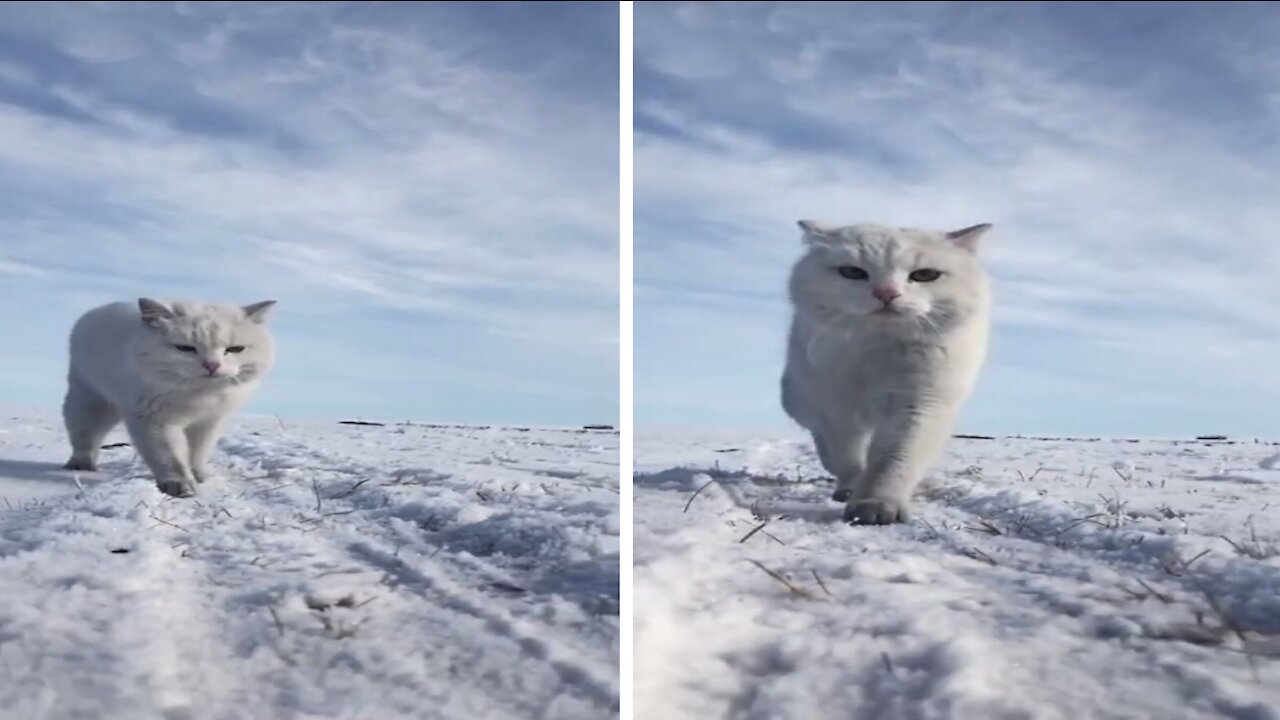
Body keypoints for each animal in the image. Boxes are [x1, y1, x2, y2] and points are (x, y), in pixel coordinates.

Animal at [62, 295, 277, 491]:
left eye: (235, 349)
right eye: (185, 348)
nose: (212, 365)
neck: (199, 396)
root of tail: (97, 311)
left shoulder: (210, 422)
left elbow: (198, 452)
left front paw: (198, 476)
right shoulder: (153, 420)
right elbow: (169, 456)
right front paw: (180, 485)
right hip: (90, 401)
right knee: (85, 436)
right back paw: (81, 465)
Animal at [778, 219, 988, 520]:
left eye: (926, 275)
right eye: (852, 272)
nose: (886, 293)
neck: (879, 354)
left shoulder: (918, 404)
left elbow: (894, 460)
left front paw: (876, 505)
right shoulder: (837, 410)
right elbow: (847, 458)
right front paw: (851, 491)